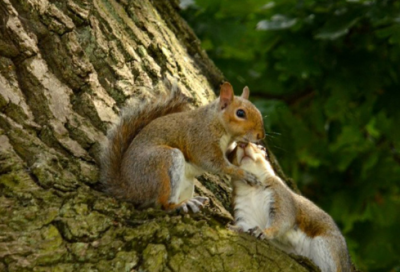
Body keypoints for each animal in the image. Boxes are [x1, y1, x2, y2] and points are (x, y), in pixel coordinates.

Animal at [101, 81, 266, 212]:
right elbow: (215, 164)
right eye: (240, 113)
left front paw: (255, 149)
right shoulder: (202, 140)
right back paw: (179, 205)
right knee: (163, 204)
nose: (260, 136)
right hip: (162, 163)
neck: (216, 122)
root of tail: (130, 188)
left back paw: (190, 202)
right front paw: (244, 174)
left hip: (185, 182)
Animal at [230, 142, 352, 272]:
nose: (242, 144)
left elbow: (283, 220)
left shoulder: (281, 196)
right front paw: (233, 227)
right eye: (231, 151)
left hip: (328, 246)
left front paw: (264, 231)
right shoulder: (244, 211)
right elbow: (245, 225)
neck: (252, 188)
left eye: (262, 149)